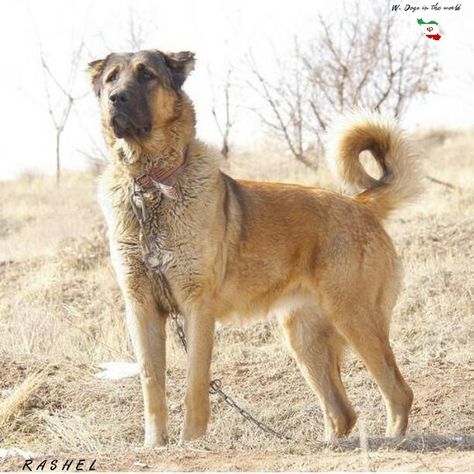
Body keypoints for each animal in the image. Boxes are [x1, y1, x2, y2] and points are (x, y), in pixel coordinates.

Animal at [88, 48, 418, 444]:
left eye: (146, 75)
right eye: (112, 78)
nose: (115, 98)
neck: (150, 186)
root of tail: (361, 204)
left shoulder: (197, 308)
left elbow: (195, 383)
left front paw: (191, 443)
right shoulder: (142, 308)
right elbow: (151, 383)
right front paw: (155, 446)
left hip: (355, 318)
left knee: (398, 391)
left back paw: (394, 440)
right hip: (305, 338)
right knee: (342, 412)